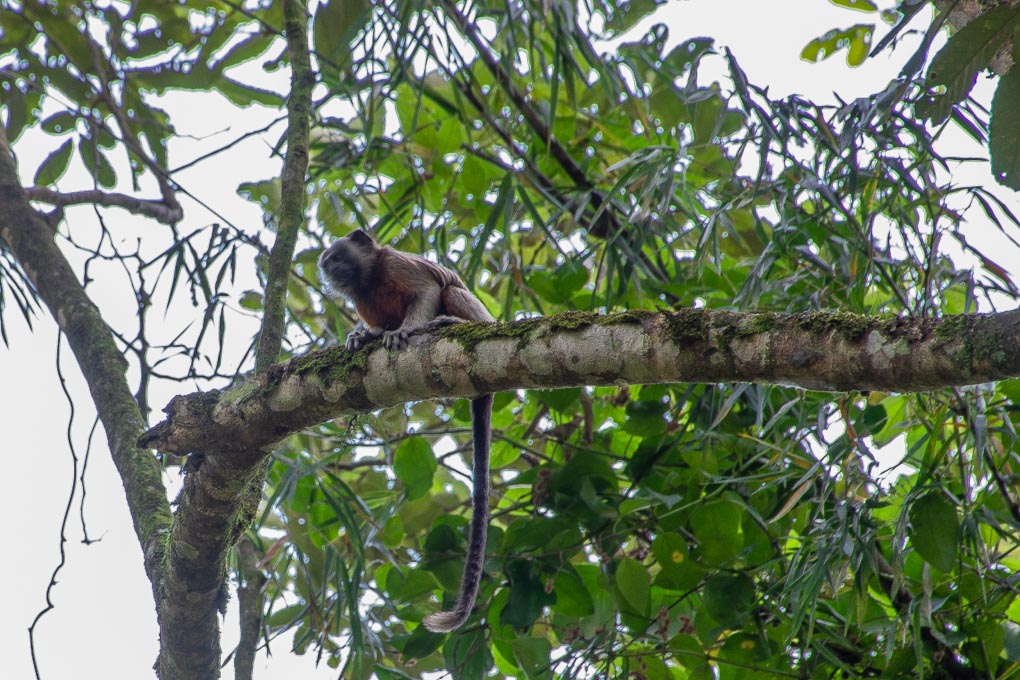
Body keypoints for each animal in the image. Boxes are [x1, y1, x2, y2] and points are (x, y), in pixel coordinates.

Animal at [318, 228, 494, 632]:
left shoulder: (398, 264)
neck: (368, 279)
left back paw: (449, 323)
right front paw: (361, 336)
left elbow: (427, 291)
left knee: (451, 292)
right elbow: (374, 325)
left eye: (339, 257)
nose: (332, 270)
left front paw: (406, 330)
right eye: (329, 263)